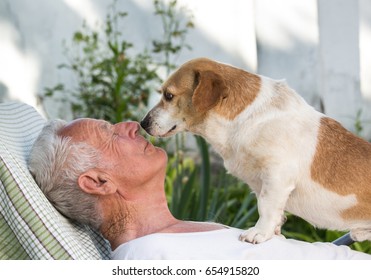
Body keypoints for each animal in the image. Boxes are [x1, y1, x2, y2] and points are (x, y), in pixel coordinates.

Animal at [140, 57, 371, 243]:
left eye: (169, 96)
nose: (143, 123)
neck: (248, 118)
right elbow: (273, 211)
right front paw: (274, 233)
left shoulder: (277, 177)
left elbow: (266, 208)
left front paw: (259, 233)